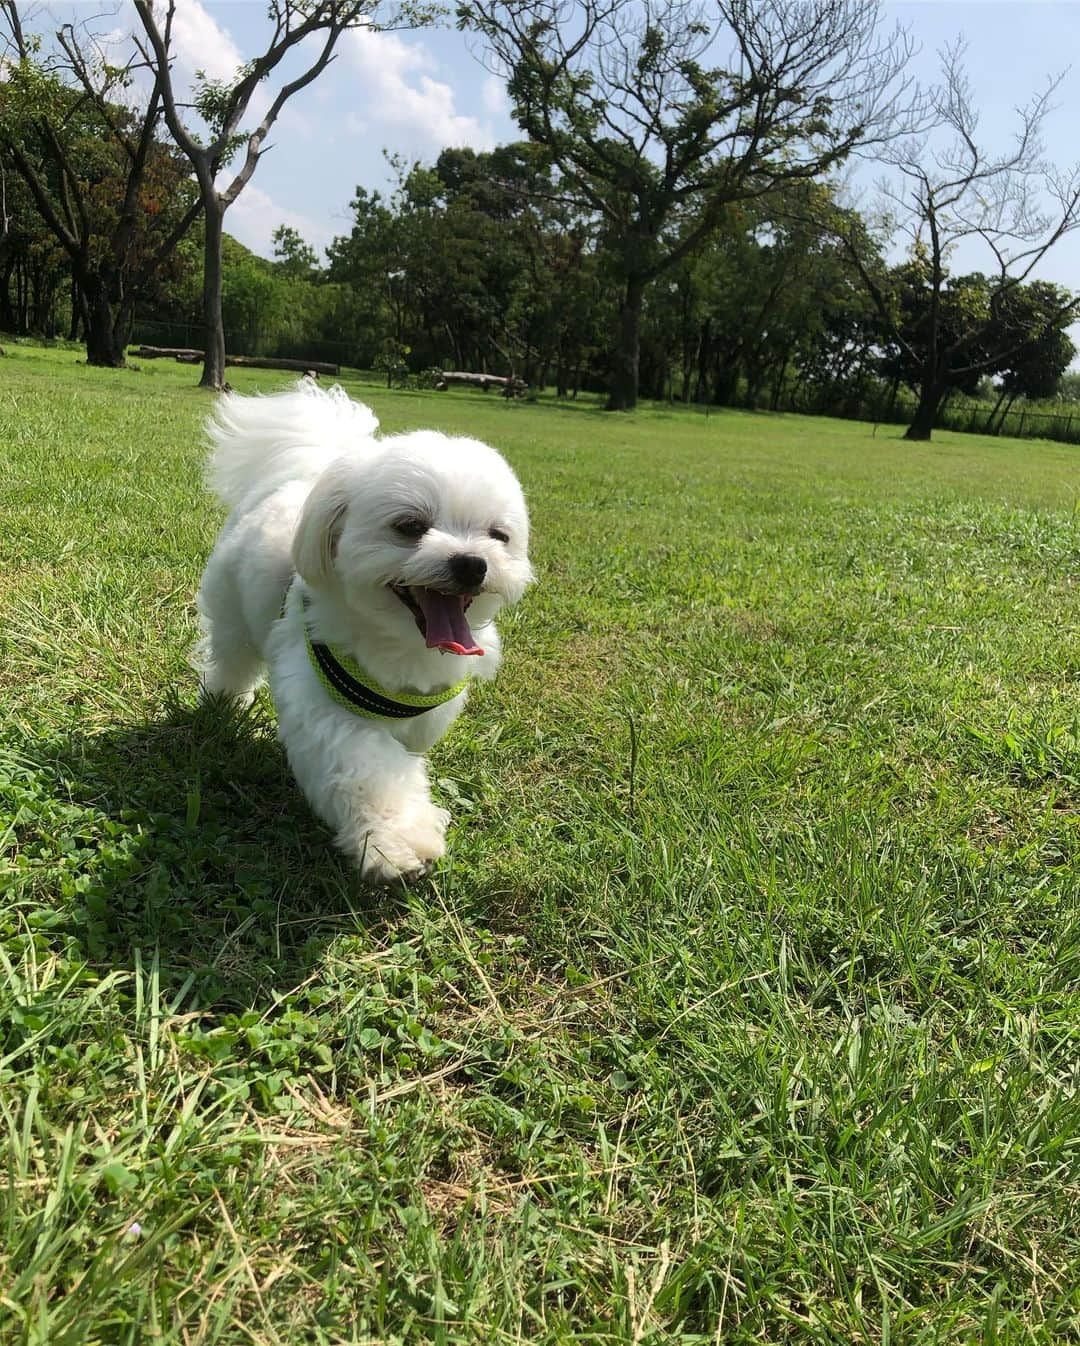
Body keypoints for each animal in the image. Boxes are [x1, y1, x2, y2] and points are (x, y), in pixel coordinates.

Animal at [195, 379, 533, 882]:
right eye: (410, 526)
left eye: (498, 536)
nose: (472, 563)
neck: (403, 643)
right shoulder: (328, 708)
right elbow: (369, 771)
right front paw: (398, 841)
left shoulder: (424, 719)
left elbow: (405, 762)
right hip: (233, 612)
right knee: (232, 656)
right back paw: (223, 700)